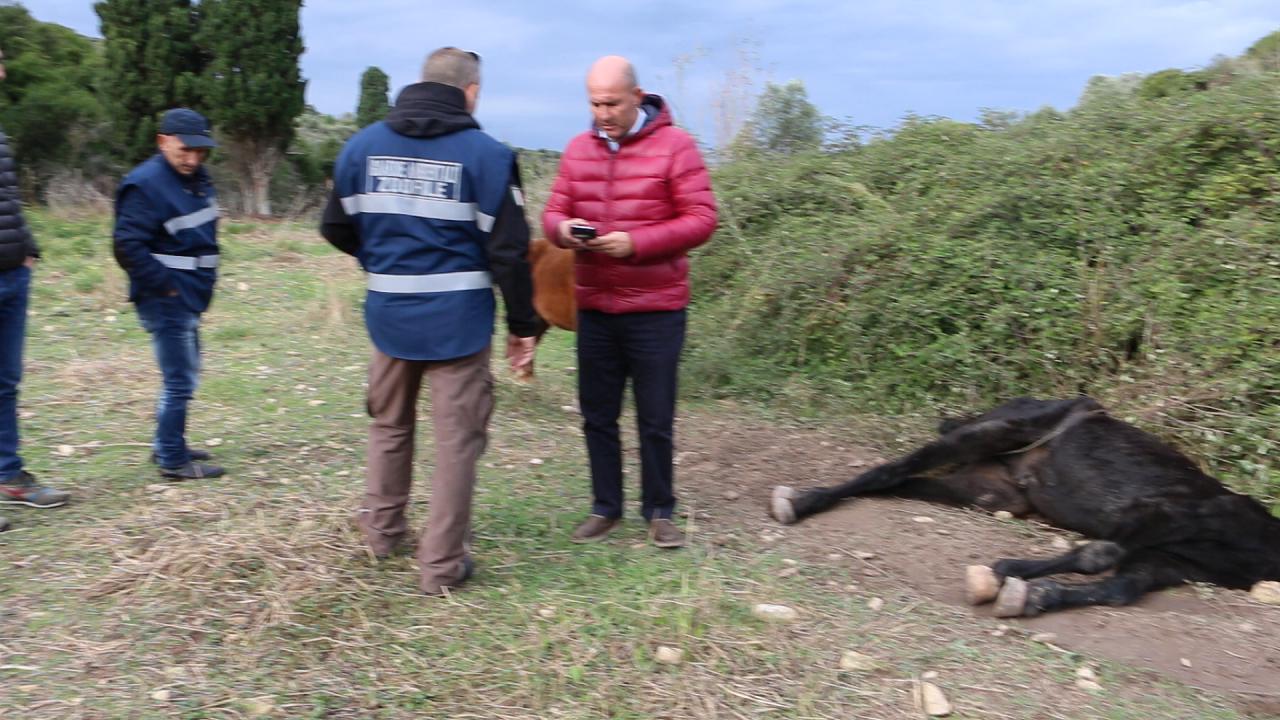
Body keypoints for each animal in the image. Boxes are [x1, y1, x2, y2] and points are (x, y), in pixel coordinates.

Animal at [768, 394, 1280, 614]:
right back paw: (802, 502)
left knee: (902, 481)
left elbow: (1120, 589)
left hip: (992, 492)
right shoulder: (1160, 513)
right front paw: (1004, 574)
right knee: (891, 469)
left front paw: (1036, 596)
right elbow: (1098, 555)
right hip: (990, 433)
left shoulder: (1170, 562)